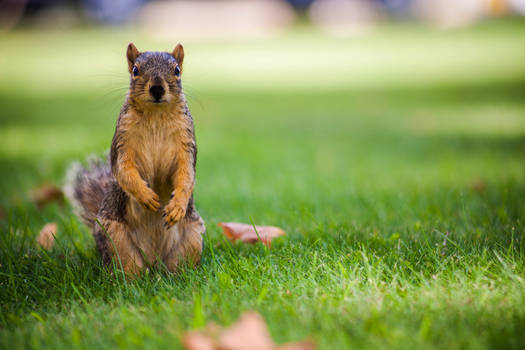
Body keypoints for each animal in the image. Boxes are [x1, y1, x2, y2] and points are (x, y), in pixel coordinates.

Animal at [63, 42, 205, 276]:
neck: (156, 114)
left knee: (177, 266)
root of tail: (154, 262)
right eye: (136, 70)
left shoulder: (186, 145)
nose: (157, 89)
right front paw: (146, 196)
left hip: (192, 237)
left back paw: (180, 276)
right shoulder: (122, 144)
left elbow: (186, 176)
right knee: (128, 267)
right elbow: (124, 171)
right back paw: (129, 279)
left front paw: (177, 207)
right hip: (114, 238)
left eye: (176, 70)